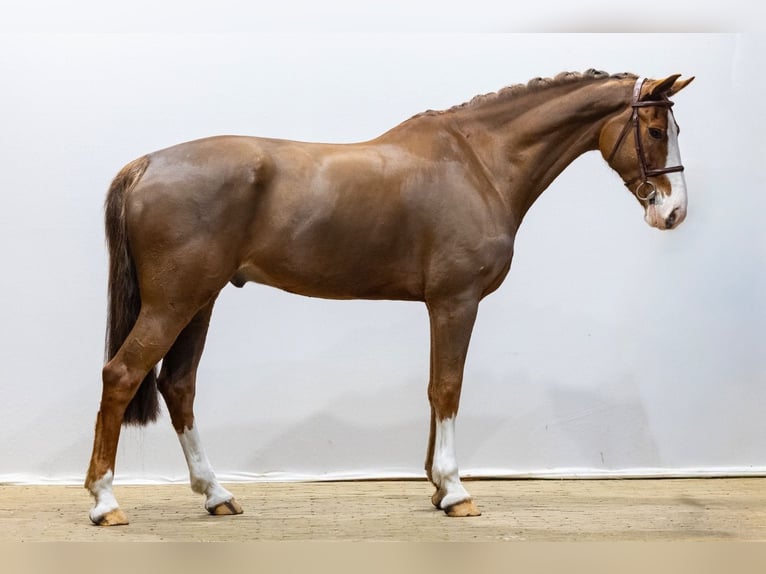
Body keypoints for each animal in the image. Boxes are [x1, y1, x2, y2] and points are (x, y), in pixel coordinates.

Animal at [85, 70, 694, 525]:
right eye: (655, 129)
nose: (673, 212)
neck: (479, 162)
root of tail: (147, 164)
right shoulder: (456, 301)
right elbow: (448, 387)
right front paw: (456, 492)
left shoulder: (440, 304)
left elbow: (434, 387)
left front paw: (437, 489)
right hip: (173, 303)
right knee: (122, 375)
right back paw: (106, 503)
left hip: (200, 301)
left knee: (178, 385)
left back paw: (216, 494)